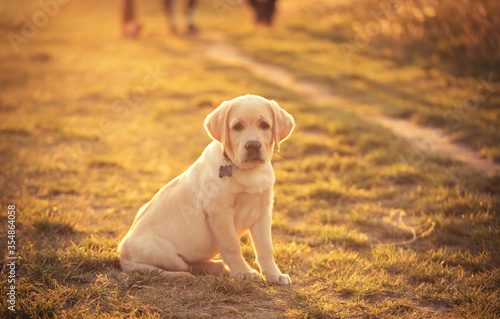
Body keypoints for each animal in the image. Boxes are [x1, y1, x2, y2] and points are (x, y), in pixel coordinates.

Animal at [118, 94, 294, 284]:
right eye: (237, 127)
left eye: (265, 125)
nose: (253, 145)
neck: (248, 171)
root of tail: (121, 254)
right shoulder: (219, 211)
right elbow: (232, 245)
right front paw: (243, 272)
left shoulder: (263, 210)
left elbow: (266, 247)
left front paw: (274, 274)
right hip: (164, 252)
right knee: (181, 266)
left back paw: (219, 266)